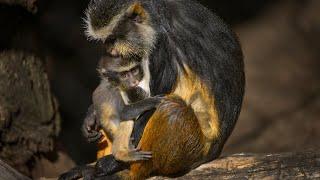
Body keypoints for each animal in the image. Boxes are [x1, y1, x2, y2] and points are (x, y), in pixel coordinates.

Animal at [80, 0, 245, 179]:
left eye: (112, 39)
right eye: (106, 41)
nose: (110, 51)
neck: (157, 16)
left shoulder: (161, 45)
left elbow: (156, 100)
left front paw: (114, 162)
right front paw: (91, 116)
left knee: (173, 110)